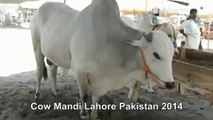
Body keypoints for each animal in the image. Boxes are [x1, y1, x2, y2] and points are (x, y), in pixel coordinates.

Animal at [30, 0, 176, 119]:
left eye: (172, 55)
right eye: (156, 54)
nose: (171, 84)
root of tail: (42, 7)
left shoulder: (99, 81)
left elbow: (96, 99)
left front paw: (94, 115)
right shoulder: (79, 71)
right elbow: (84, 96)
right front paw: (83, 114)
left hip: (53, 55)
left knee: (53, 70)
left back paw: (55, 91)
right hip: (37, 48)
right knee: (39, 72)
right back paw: (37, 94)